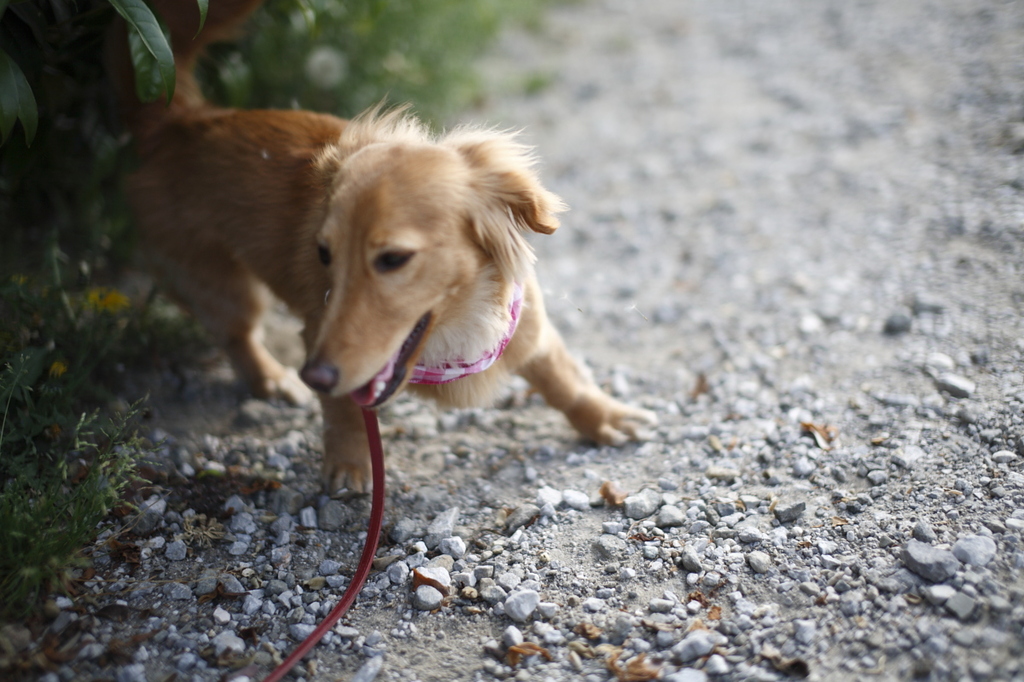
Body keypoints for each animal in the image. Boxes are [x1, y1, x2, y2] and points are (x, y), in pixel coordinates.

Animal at [114, 0, 655, 489]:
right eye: (324, 255)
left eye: (393, 259)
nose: (314, 375)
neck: (456, 332)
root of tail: (181, 123)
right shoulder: (318, 336)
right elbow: (344, 411)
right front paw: (350, 463)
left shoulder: (530, 330)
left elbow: (564, 377)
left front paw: (604, 415)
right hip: (219, 285)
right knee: (237, 335)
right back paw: (272, 377)